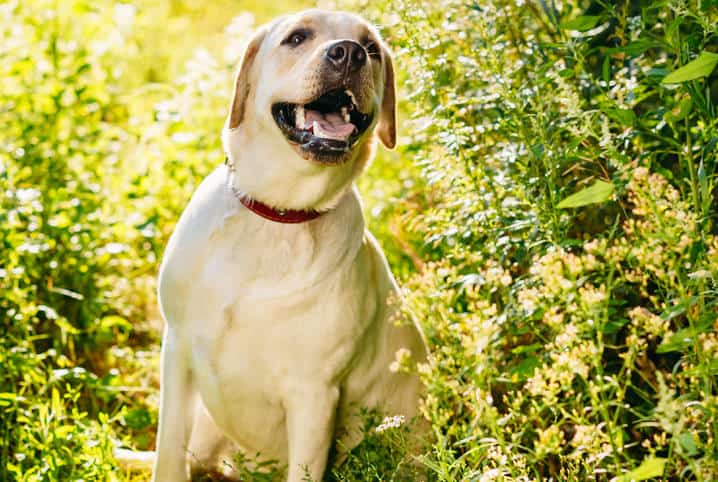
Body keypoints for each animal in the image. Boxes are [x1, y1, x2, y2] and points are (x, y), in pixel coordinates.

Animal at [153, 8, 428, 482]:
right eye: (297, 37)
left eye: (371, 49)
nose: (349, 53)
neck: (277, 215)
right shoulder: (178, 351)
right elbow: (167, 453)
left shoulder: (314, 396)